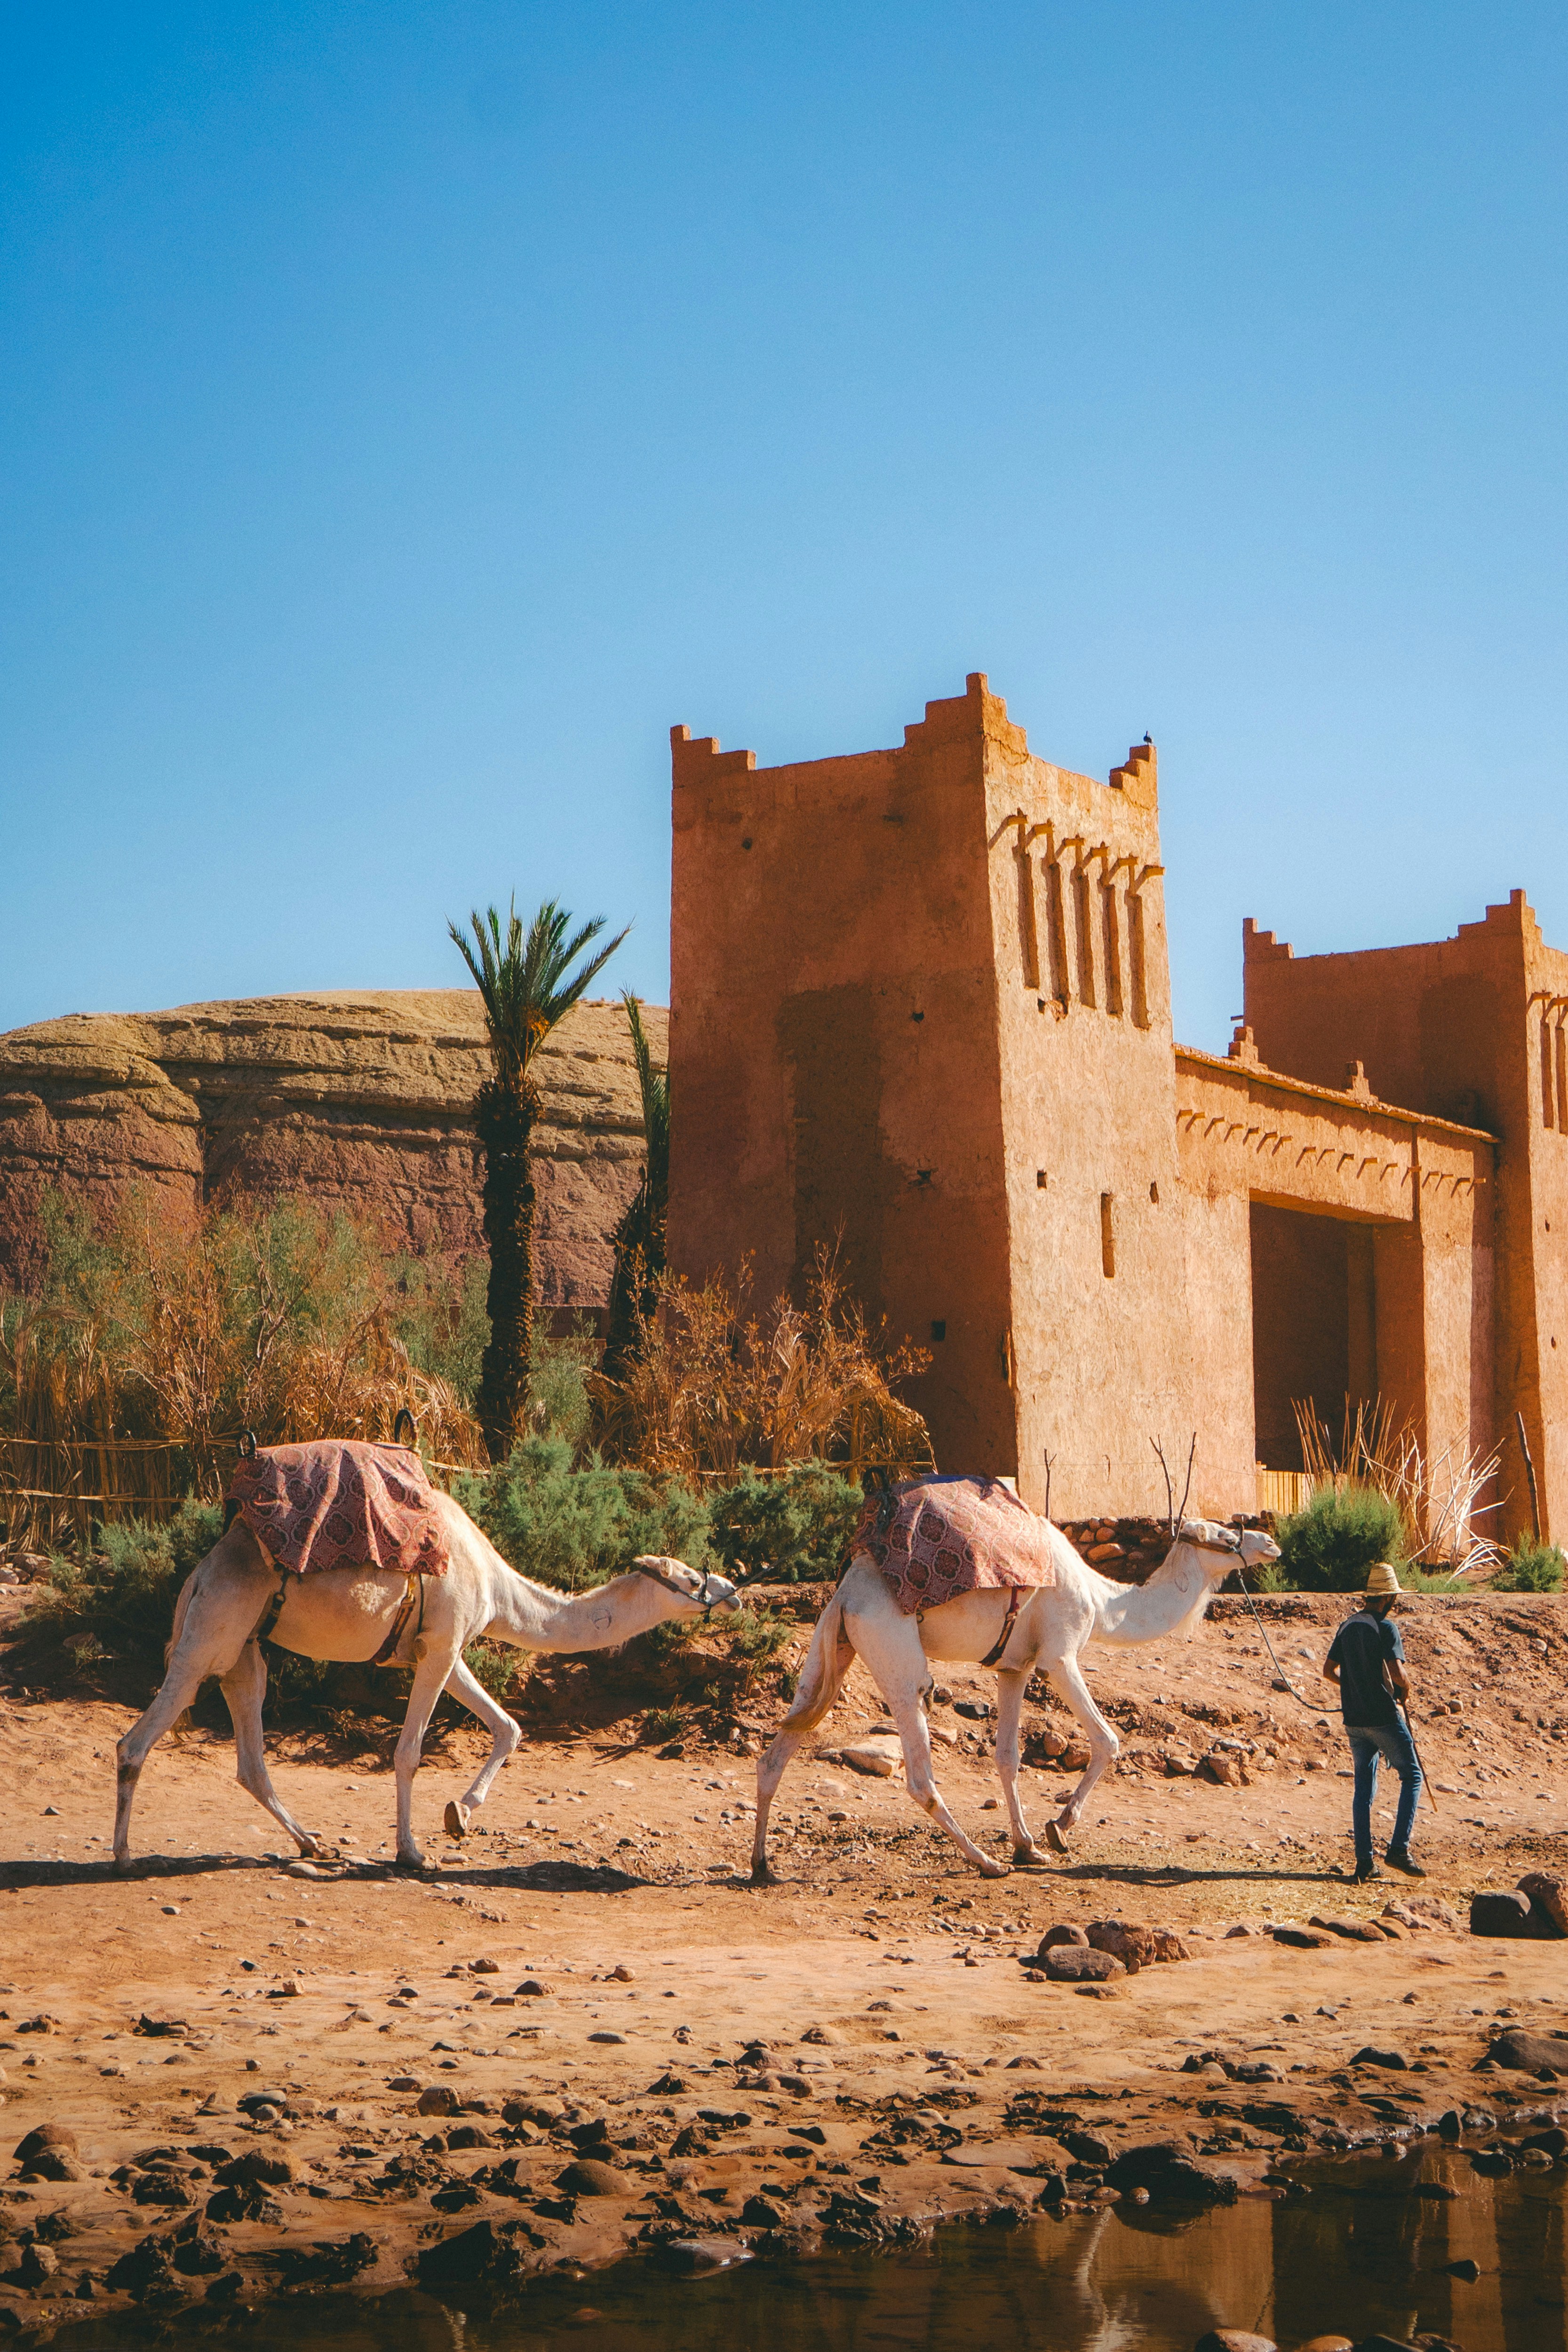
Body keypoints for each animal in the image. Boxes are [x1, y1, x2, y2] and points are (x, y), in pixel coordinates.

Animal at [112, 1489, 739, 1870]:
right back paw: (121, 1856)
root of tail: (199, 1573)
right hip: (210, 1636)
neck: (498, 1585)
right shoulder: (441, 1645)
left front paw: (459, 1814)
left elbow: (509, 1727)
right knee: (135, 1741)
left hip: (243, 1652)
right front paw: (412, 1851)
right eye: (690, 1577)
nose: (731, 1590)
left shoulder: (444, 1646)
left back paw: (311, 1841)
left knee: (249, 1756)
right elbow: (410, 1750)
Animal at [749, 1514, 1281, 1882]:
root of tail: (845, 1595)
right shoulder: (1059, 1656)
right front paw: (1059, 1827)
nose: (1270, 1543)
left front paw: (1028, 1846)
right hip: (894, 1650)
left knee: (777, 1751)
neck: (1103, 1600)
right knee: (919, 1771)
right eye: (1224, 1535)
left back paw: (761, 1865)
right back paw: (985, 1862)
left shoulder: (1013, 1667)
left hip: (831, 1648)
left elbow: (1008, 1756)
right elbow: (1108, 1739)